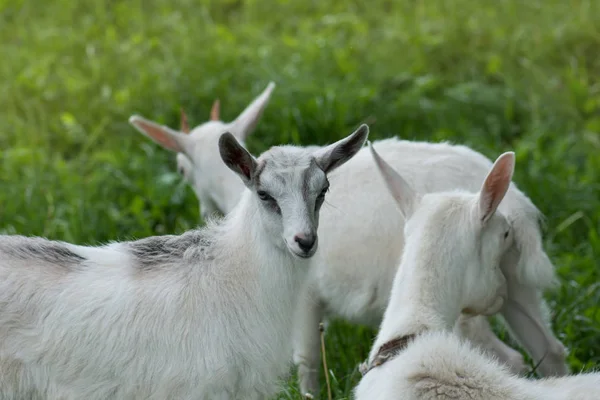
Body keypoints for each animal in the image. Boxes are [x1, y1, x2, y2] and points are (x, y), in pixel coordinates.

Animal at [126, 83, 568, 396]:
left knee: (509, 357)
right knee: (549, 349)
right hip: (512, 282)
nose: (205, 213)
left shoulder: (306, 296)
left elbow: (306, 362)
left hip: (467, 304)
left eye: (181, 170)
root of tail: (518, 208)